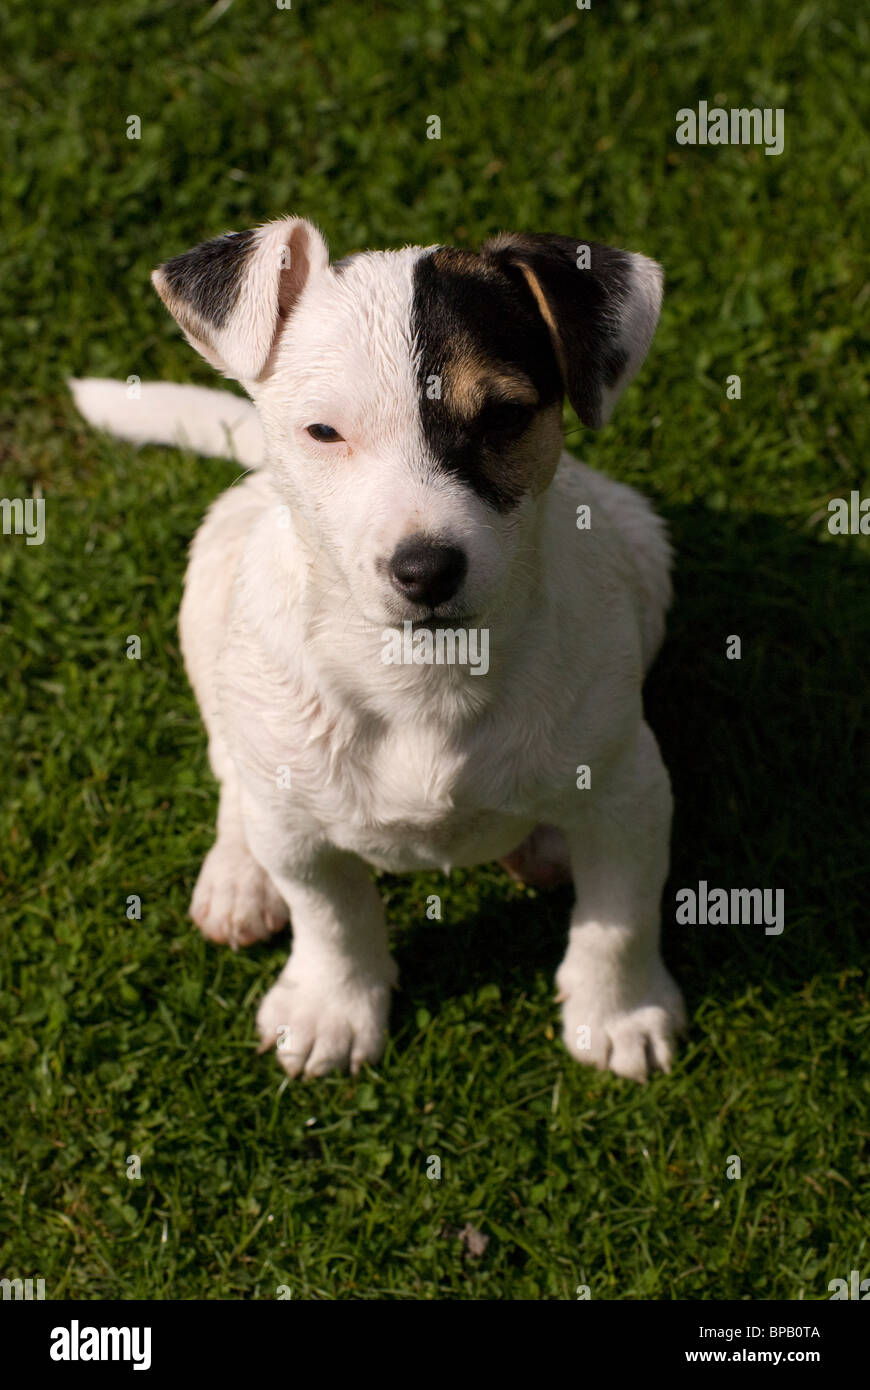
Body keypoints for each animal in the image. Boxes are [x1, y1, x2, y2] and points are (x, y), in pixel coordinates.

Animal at [71, 219, 683, 1084]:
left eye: (505, 419)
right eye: (324, 432)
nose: (425, 570)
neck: (424, 680)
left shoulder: (630, 792)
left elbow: (619, 916)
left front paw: (619, 1013)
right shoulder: (301, 835)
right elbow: (331, 917)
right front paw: (332, 1008)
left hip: (641, 544)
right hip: (210, 603)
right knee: (231, 765)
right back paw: (238, 875)